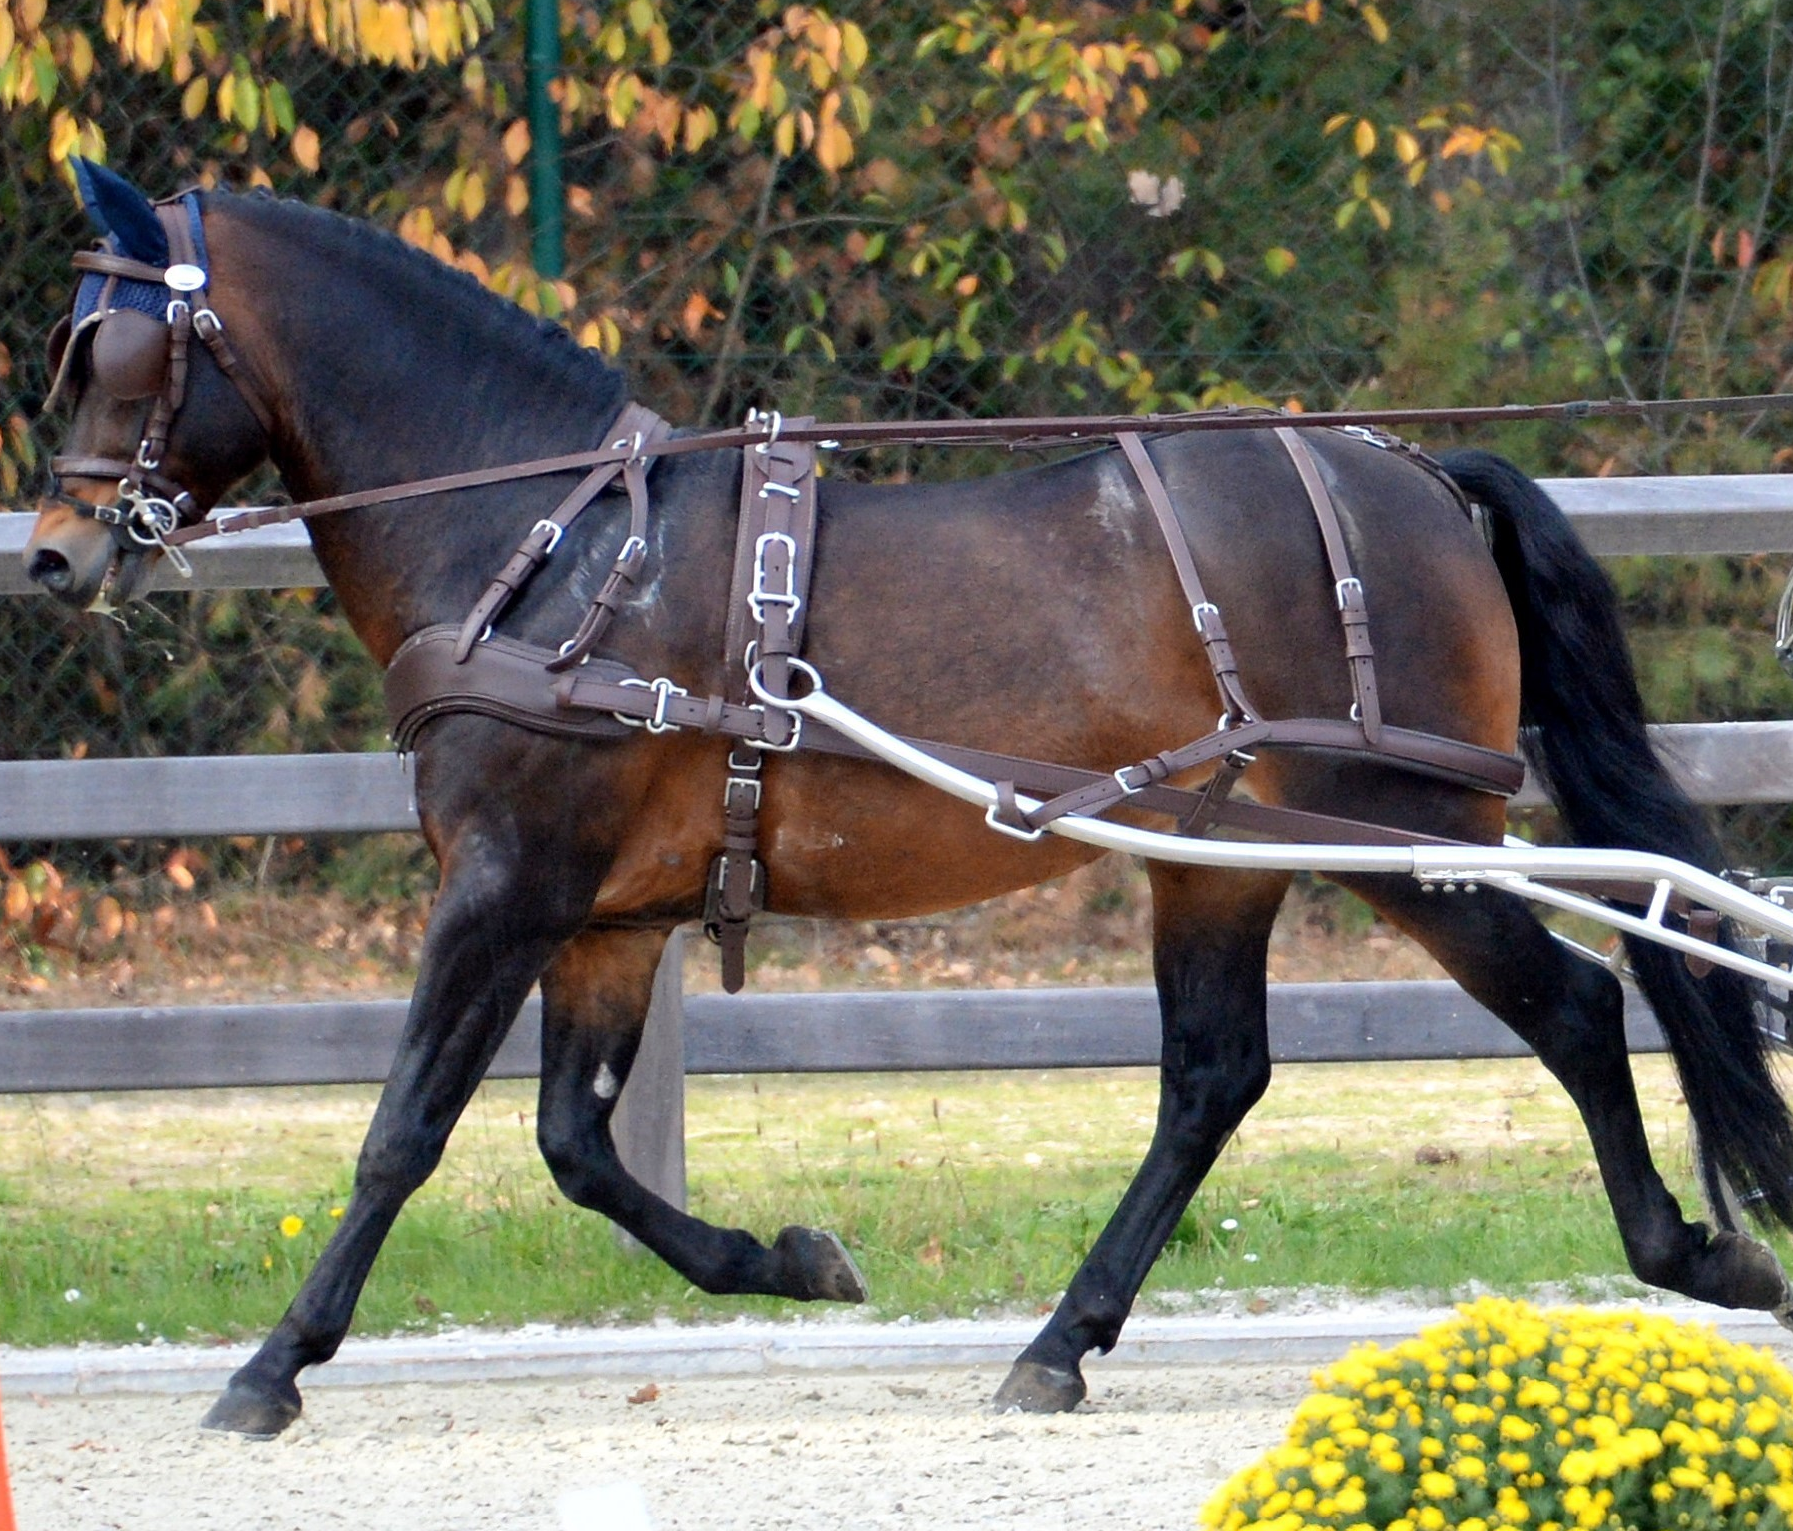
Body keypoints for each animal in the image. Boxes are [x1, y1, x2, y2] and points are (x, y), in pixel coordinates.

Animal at [21, 160, 1793, 1439]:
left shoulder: (508, 884)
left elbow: (403, 1128)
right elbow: (575, 1145)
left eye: (111, 350)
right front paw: (792, 1260)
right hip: (1219, 852)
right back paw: (1061, 1340)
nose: (52, 556)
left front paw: (271, 1365)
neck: (556, 544)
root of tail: (1413, 473)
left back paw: (1698, 1249)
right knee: (1216, 1076)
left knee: (1576, 1001)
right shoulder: (603, 915)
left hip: (1405, 835)